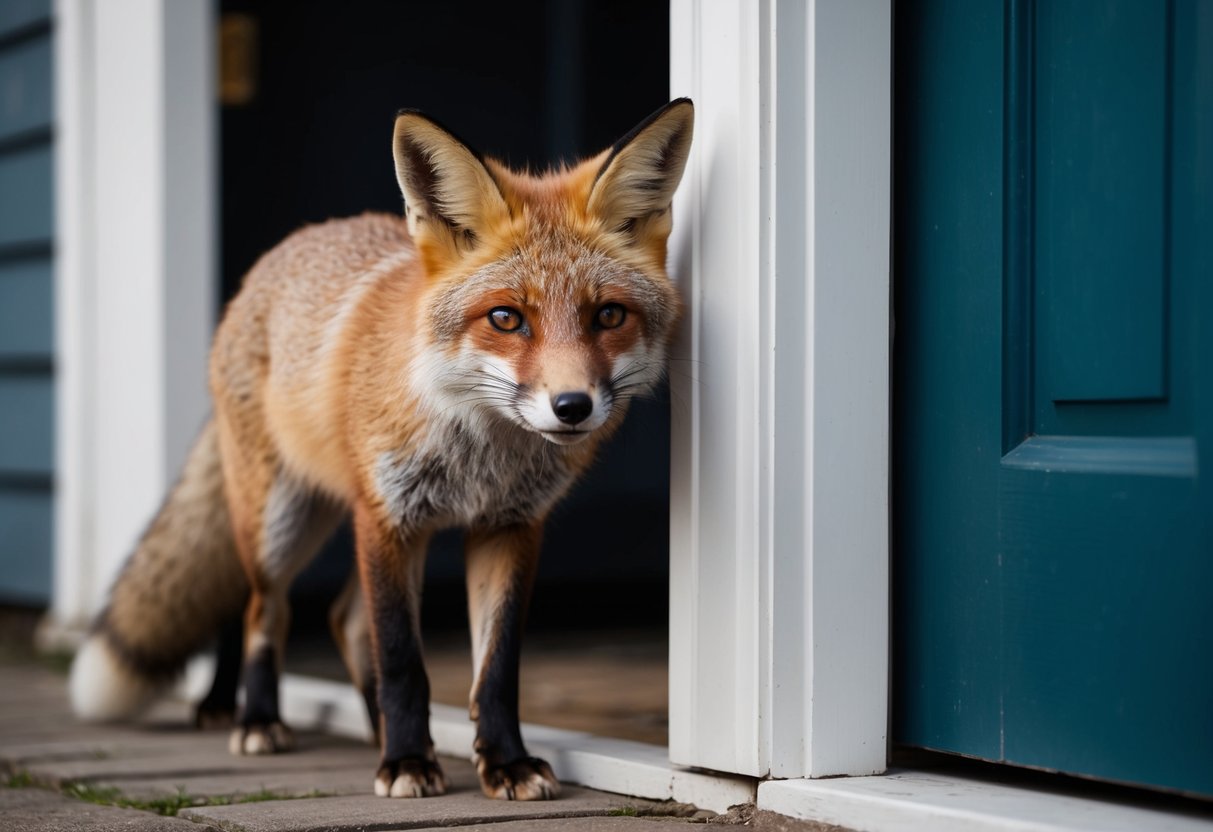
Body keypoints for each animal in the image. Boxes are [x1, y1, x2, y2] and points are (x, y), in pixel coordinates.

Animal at [68, 99, 694, 801]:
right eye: (506, 319)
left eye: (608, 316)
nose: (572, 406)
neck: (477, 454)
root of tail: (279, 254)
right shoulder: (388, 518)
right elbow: (401, 659)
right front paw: (407, 761)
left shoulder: (509, 528)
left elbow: (495, 671)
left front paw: (503, 761)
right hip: (280, 521)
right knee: (264, 609)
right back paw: (255, 717)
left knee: (342, 618)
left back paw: (369, 727)